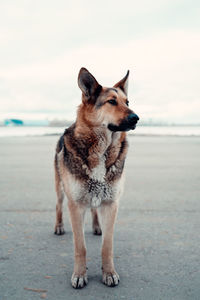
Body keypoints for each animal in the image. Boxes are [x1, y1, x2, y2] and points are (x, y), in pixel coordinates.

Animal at [54, 68, 140, 288]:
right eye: (111, 102)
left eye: (127, 102)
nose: (136, 117)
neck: (102, 149)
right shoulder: (75, 206)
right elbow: (80, 247)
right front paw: (79, 274)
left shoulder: (111, 204)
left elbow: (107, 246)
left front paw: (109, 273)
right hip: (60, 190)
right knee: (58, 206)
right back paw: (59, 226)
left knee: (94, 210)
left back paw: (96, 226)